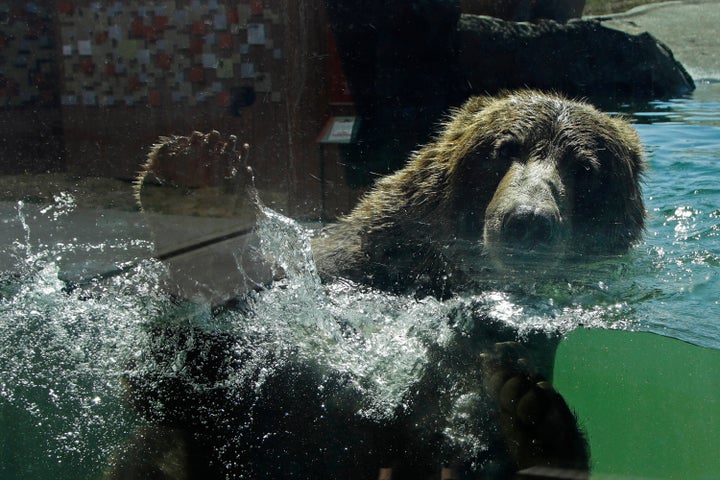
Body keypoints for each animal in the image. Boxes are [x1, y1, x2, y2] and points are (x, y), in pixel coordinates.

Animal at [119, 91, 648, 480]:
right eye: (503, 148)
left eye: (586, 168)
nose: (528, 220)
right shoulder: (344, 270)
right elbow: (178, 385)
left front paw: (530, 417)